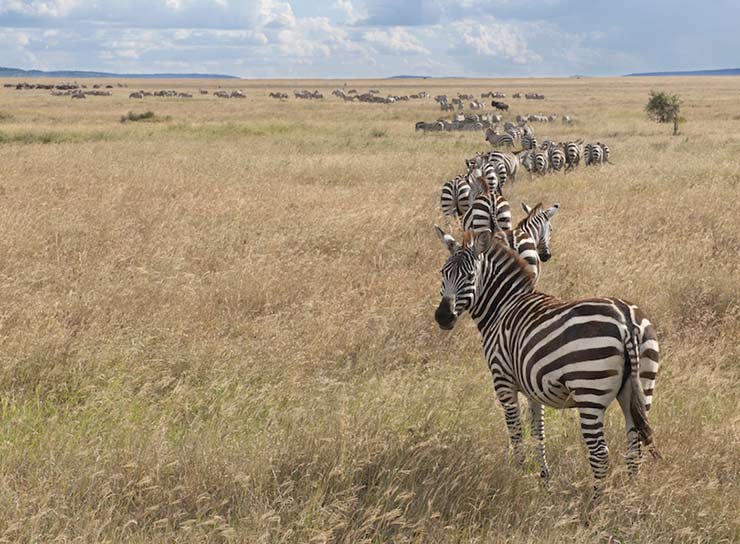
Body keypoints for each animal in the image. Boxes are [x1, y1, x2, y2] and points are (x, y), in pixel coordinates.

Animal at [434, 227, 660, 490]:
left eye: (470, 276)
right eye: (443, 273)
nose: (443, 317)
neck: (502, 306)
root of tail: (626, 320)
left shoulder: (503, 380)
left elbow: (516, 434)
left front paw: (518, 473)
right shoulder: (533, 386)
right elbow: (538, 432)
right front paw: (543, 476)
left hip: (589, 390)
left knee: (600, 455)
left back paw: (596, 500)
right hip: (639, 387)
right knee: (635, 448)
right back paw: (629, 494)